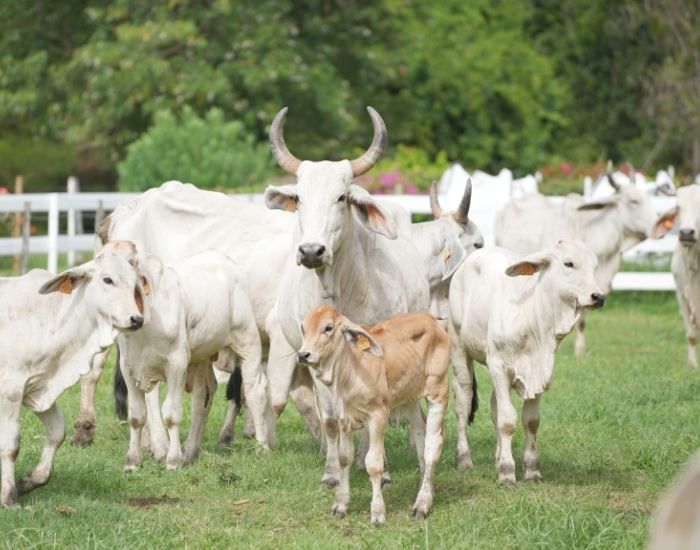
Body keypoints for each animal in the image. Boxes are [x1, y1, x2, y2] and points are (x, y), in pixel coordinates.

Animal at [0, 246, 144, 507]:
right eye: (107, 279)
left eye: (133, 283)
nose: (136, 319)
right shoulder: (10, 391)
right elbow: (10, 445)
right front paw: (8, 497)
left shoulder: (39, 389)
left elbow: (58, 432)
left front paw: (27, 481)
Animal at [117, 249, 270, 471]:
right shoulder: (128, 367)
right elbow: (136, 416)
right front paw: (132, 461)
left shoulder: (177, 362)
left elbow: (171, 413)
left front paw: (173, 461)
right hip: (201, 357)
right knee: (203, 395)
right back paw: (190, 451)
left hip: (247, 339)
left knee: (254, 390)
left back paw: (262, 447)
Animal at [263, 106, 431, 486]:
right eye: (300, 198)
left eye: (341, 197)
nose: (312, 251)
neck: (338, 292)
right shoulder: (313, 361)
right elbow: (329, 417)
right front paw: (331, 471)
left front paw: (378, 469)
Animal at [298, 306, 449, 524]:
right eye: (303, 327)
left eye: (328, 328)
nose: (303, 354)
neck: (350, 372)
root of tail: (432, 320)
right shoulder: (344, 419)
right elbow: (344, 458)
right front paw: (340, 504)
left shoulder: (378, 416)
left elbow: (374, 464)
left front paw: (378, 512)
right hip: (410, 399)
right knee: (420, 435)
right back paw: (425, 488)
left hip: (438, 391)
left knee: (432, 447)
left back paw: (422, 503)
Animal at [447, 239, 605, 483]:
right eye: (569, 263)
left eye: (594, 265)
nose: (598, 296)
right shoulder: (498, 365)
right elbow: (507, 420)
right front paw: (507, 473)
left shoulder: (538, 373)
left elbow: (530, 420)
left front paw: (531, 470)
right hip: (459, 349)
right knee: (463, 402)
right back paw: (464, 459)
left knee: (494, 405)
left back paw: (497, 457)